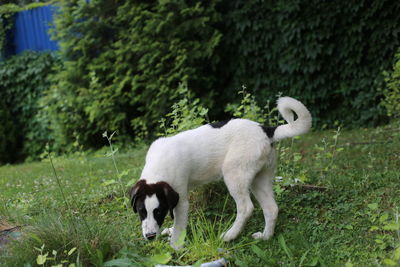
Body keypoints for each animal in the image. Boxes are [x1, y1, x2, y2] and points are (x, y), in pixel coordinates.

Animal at [130, 97, 310, 250]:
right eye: (141, 211)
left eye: (159, 211)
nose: (150, 236)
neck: (157, 169)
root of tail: (266, 130)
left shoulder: (181, 199)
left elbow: (179, 225)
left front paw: (175, 248)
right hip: (260, 178)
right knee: (271, 208)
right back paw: (266, 237)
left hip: (234, 173)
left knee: (246, 207)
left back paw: (229, 235)